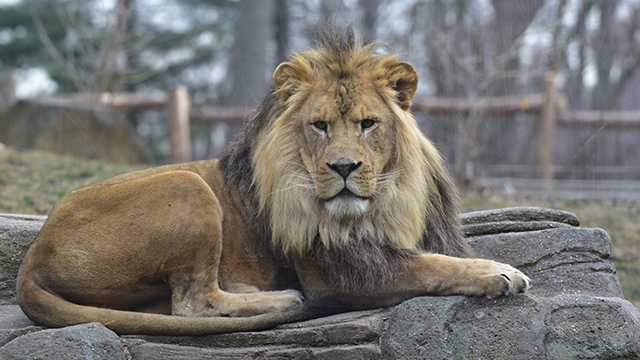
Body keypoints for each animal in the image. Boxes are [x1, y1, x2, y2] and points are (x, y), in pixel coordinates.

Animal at [16, 29, 528, 336]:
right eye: (319, 126)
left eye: (367, 124)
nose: (344, 168)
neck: (390, 197)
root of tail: (32, 258)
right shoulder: (335, 272)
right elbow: (432, 268)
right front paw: (498, 273)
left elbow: (437, 257)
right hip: (187, 184)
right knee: (192, 303)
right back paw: (280, 299)